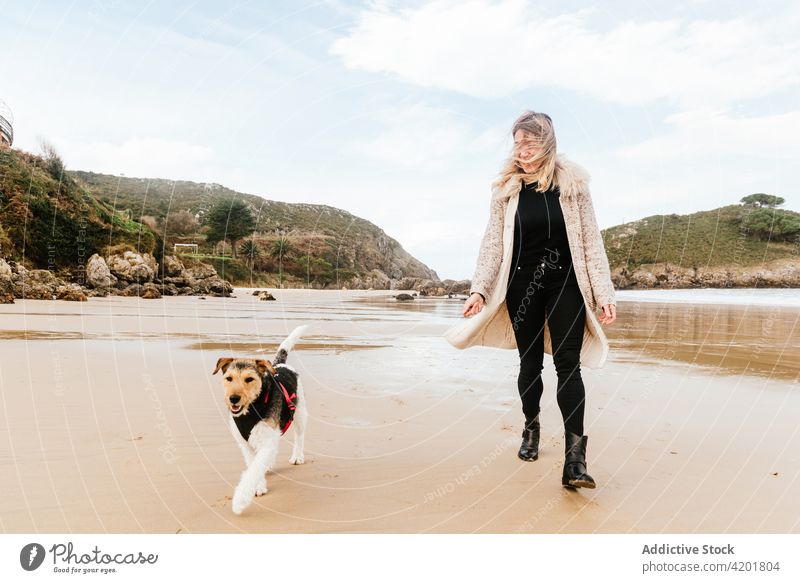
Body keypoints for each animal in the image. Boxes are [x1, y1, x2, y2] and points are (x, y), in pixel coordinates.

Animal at [212, 324, 310, 516]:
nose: (233, 399)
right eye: (229, 378)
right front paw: (258, 486)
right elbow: (254, 465)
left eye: (249, 379)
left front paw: (241, 500)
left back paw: (297, 456)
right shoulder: (245, 444)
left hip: (300, 414)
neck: (252, 408)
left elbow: (254, 469)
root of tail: (280, 365)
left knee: (299, 436)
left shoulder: (266, 438)